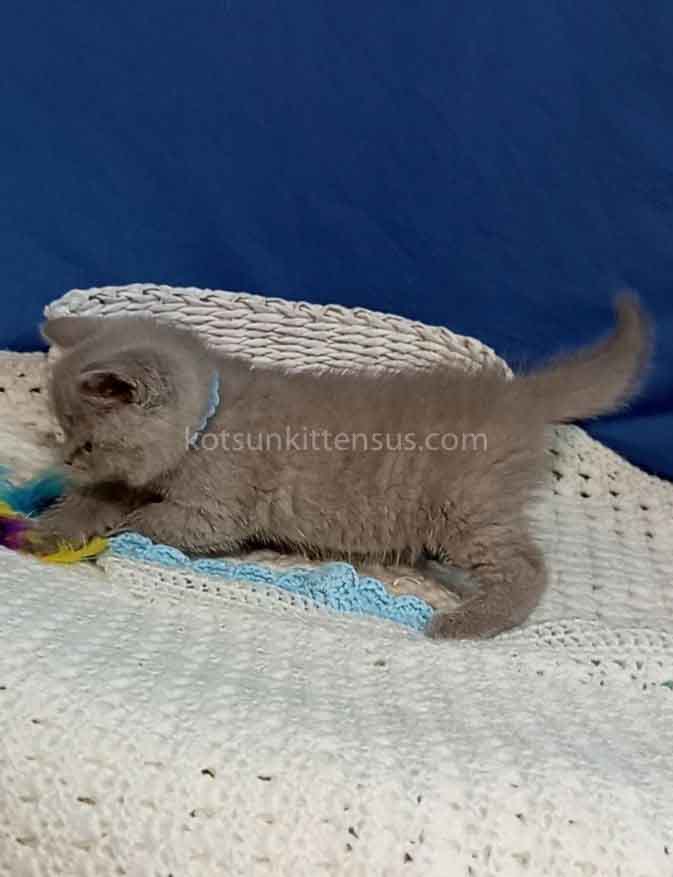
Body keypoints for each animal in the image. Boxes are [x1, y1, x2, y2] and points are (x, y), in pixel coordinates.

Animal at [34, 293, 650, 639]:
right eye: (65, 431)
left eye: (87, 442)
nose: (65, 457)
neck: (208, 421)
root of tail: (516, 394)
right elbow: (98, 502)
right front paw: (50, 530)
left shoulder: (215, 509)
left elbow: (153, 520)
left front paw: (116, 533)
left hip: (467, 509)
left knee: (527, 568)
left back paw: (465, 623)